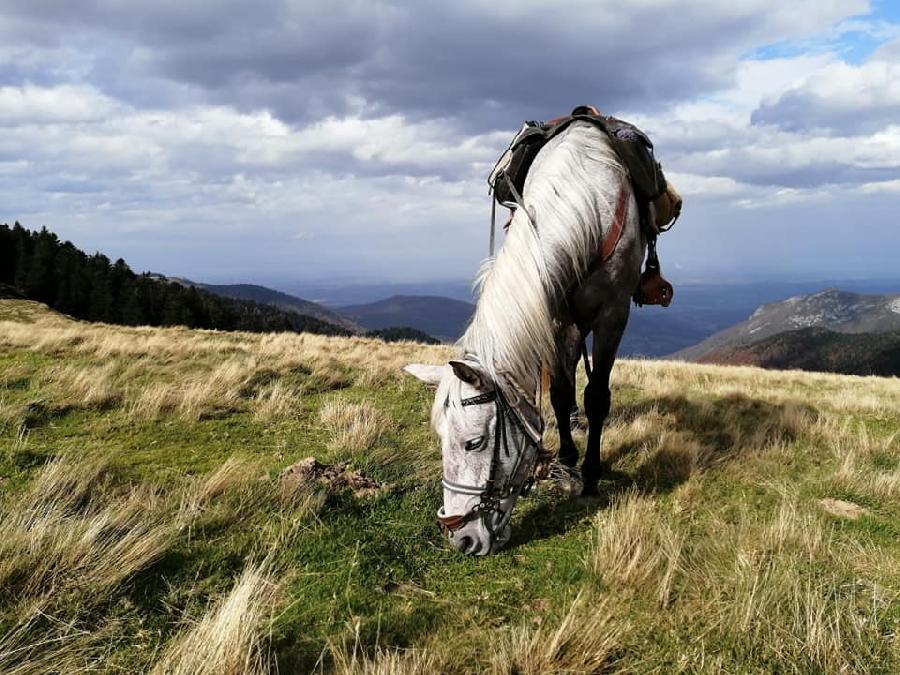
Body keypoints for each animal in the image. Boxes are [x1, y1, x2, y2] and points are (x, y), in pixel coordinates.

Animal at [410, 120, 652, 556]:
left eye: (474, 443)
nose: (460, 538)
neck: (586, 198)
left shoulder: (614, 313)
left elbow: (597, 397)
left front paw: (591, 478)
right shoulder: (553, 313)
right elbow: (557, 391)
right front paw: (568, 461)